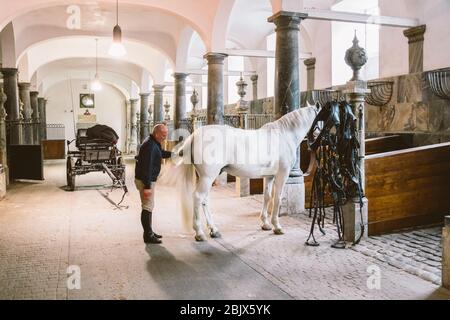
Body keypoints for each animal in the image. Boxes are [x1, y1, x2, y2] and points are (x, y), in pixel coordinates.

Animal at [166, 104, 320, 241]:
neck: (284, 135)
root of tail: (194, 135)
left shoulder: (269, 176)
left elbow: (267, 197)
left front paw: (265, 224)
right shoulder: (282, 174)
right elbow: (277, 198)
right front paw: (277, 226)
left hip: (204, 177)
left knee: (205, 200)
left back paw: (214, 230)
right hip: (207, 177)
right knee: (198, 197)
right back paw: (199, 233)